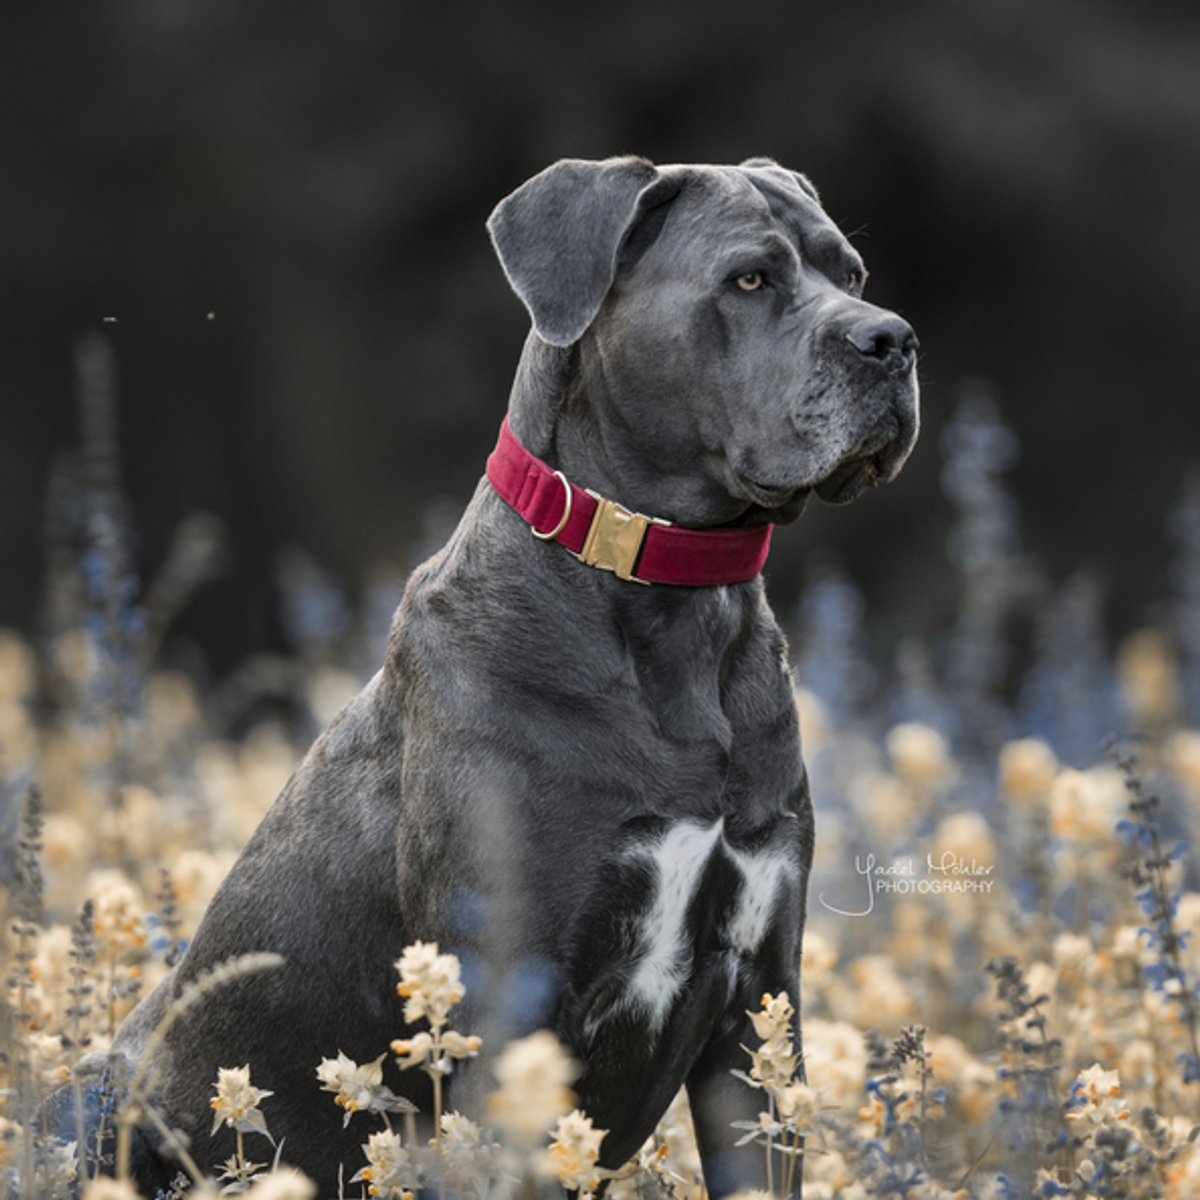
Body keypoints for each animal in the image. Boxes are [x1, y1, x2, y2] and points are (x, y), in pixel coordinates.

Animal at [63, 154, 916, 1195]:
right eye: (749, 279)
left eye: (852, 272)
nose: (893, 340)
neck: (676, 601)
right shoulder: (513, 993)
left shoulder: (757, 1009)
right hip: (96, 1099)